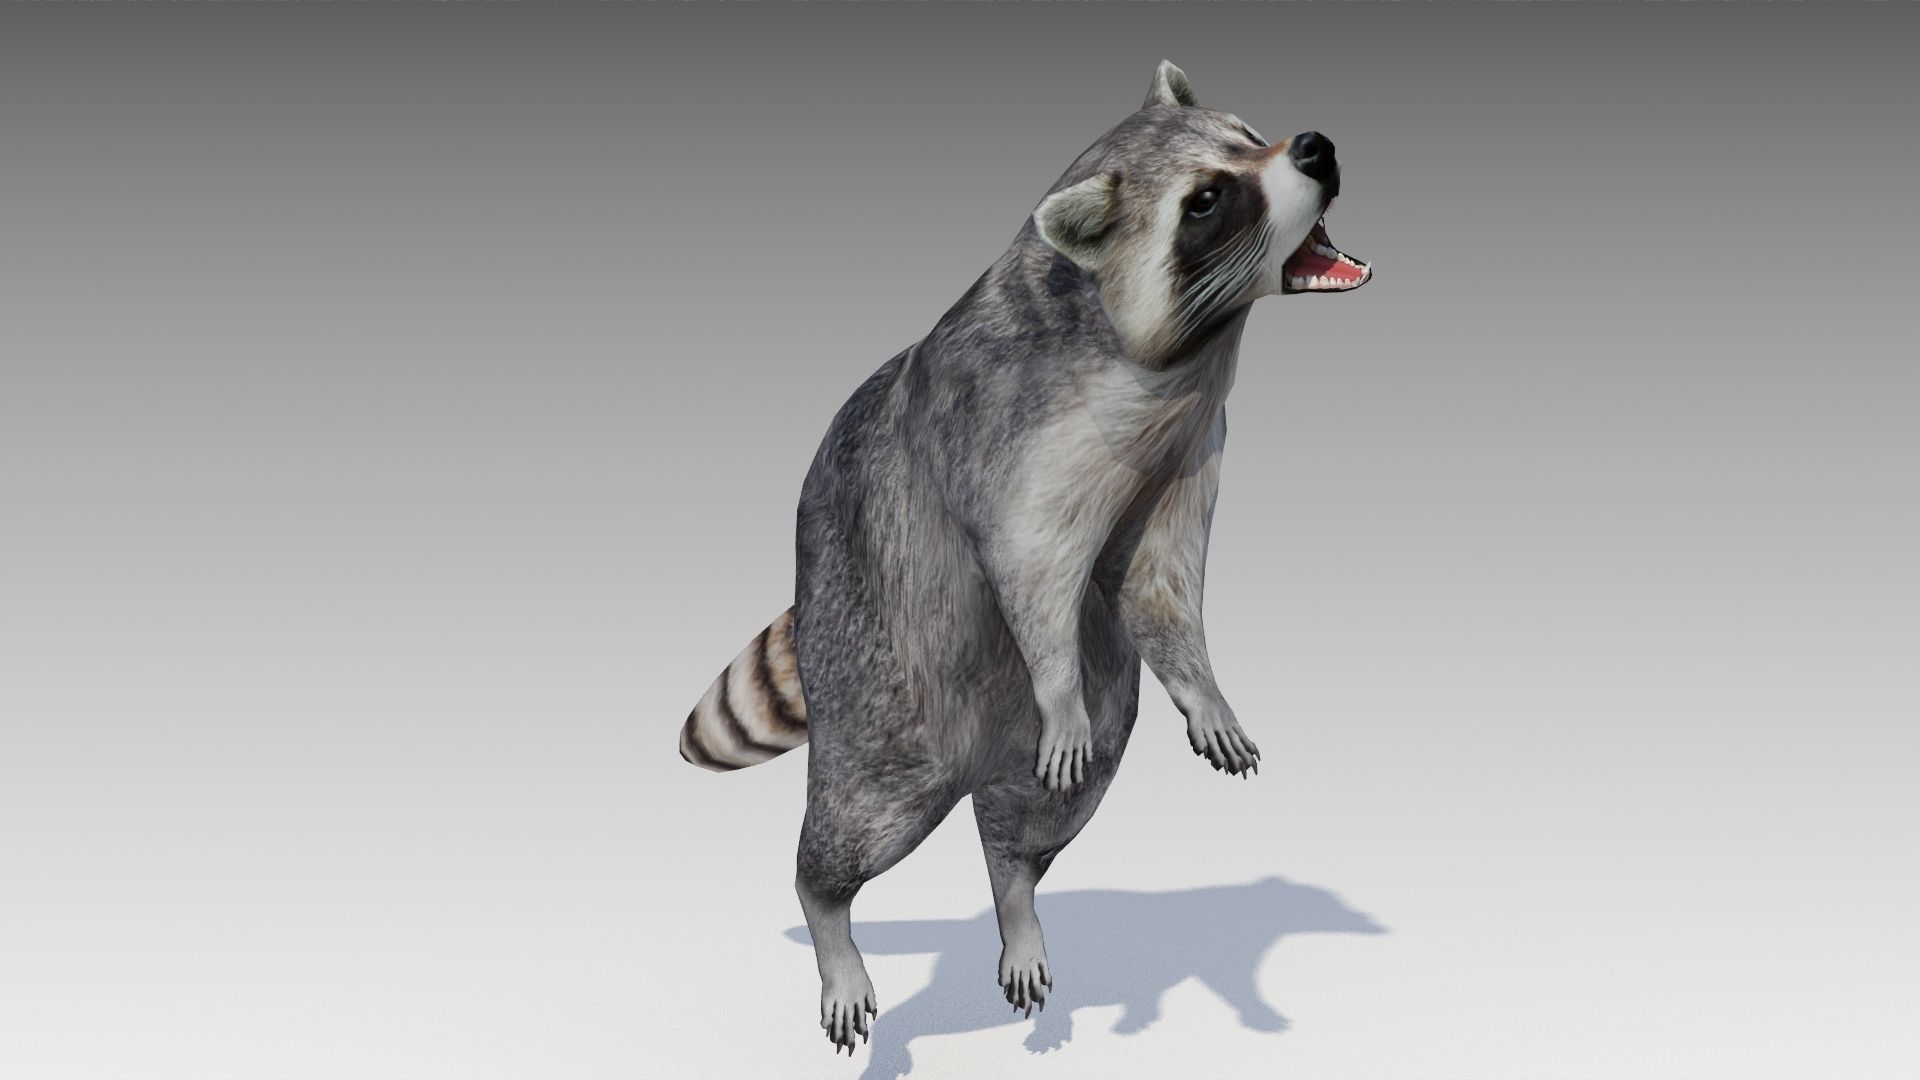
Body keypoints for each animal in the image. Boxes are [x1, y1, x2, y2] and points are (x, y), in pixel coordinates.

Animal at [676, 60, 1370, 1054]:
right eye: (1206, 201)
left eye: (1249, 133)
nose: (1314, 147)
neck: (1185, 356)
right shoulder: (1011, 432)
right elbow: (1028, 568)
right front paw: (1054, 675)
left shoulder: (1187, 449)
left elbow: (1157, 586)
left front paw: (1201, 683)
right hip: (880, 673)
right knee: (860, 819)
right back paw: (831, 916)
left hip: (1058, 731)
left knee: (1039, 812)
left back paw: (1015, 894)